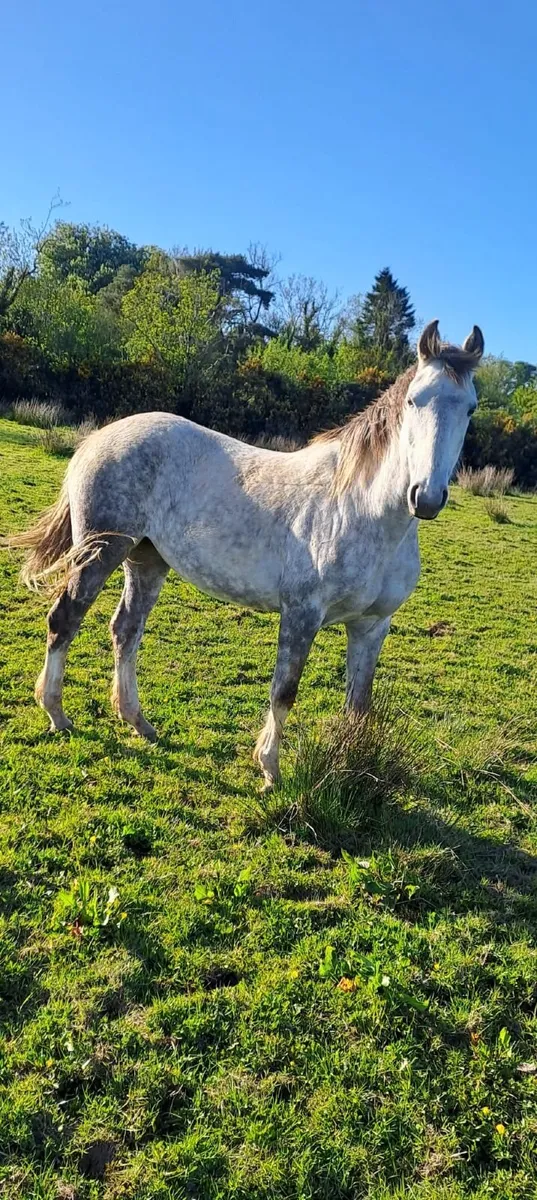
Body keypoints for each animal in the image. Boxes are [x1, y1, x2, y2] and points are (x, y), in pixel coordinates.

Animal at [6, 319, 484, 788]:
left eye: (470, 408)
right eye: (414, 400)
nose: (426, 498)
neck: (362, 509)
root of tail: (100, 437)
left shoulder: (372, 625)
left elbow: (358, 705)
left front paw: (352, 767)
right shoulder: (302, 613)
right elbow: (284, 690)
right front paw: (270, 768)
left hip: (146, 559)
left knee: (126, 630)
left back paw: (138, 722)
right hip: (101, 551)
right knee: (65, 619)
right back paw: (57, 714)